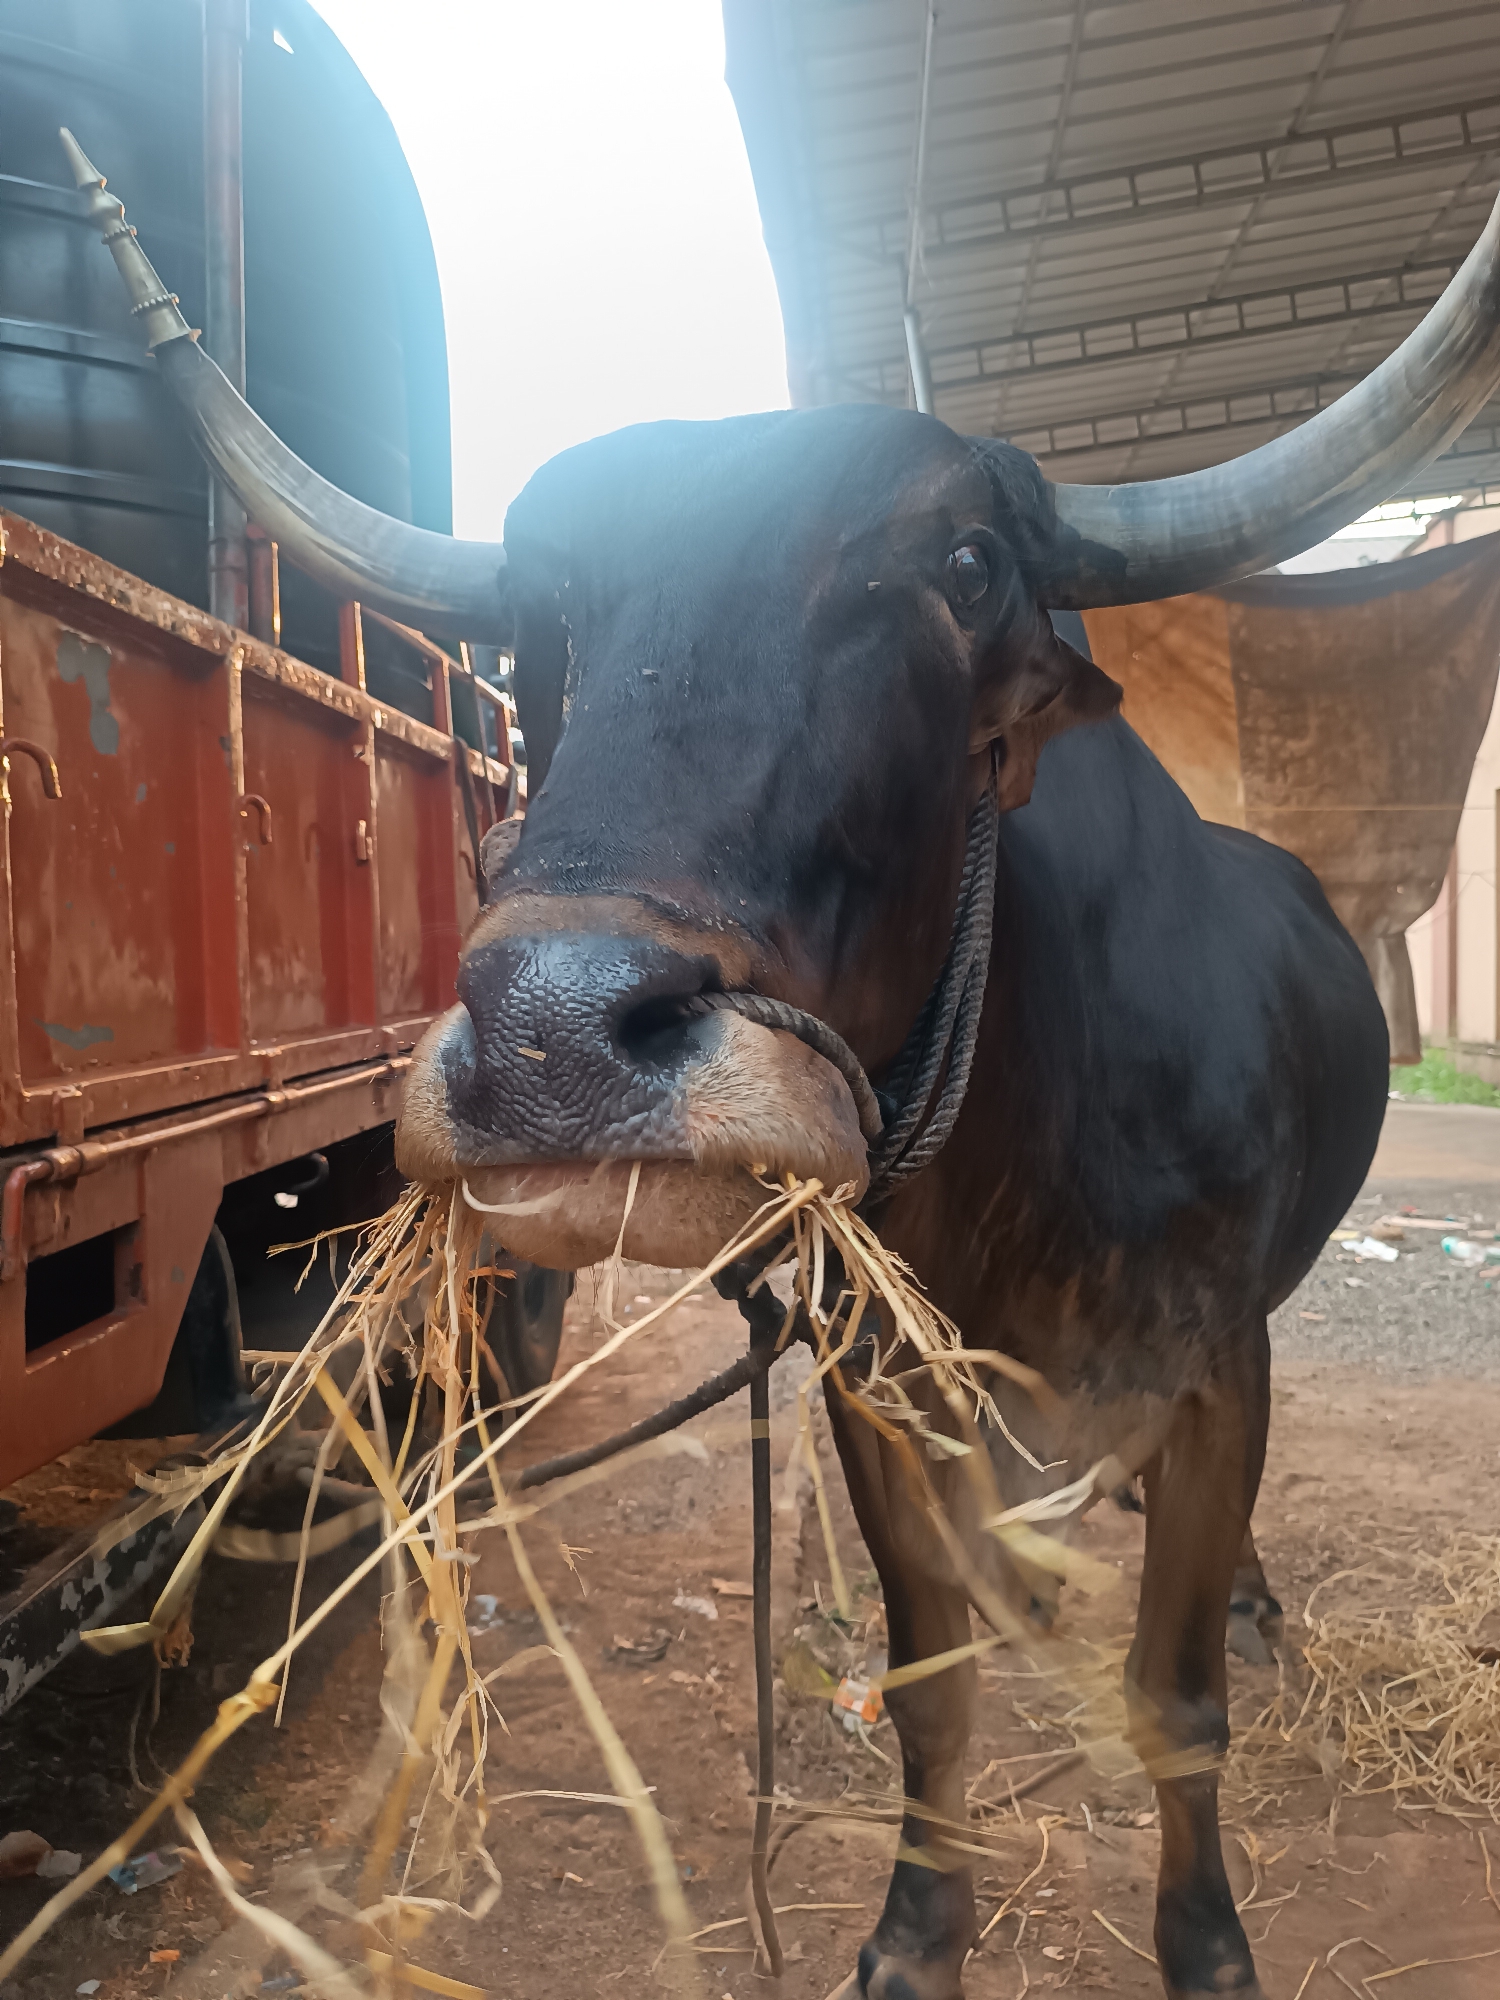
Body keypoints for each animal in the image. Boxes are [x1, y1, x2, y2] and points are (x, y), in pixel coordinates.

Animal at [74, 134, 1500, 1999]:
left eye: (965, 560)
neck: (1026, 1157)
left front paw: (1205, 1943)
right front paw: (915, 1931)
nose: (553, 1035)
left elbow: (1174, 1699)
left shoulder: (1212, 1375)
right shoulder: (875, 1390)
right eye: (528, 620)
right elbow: (931, 1684)